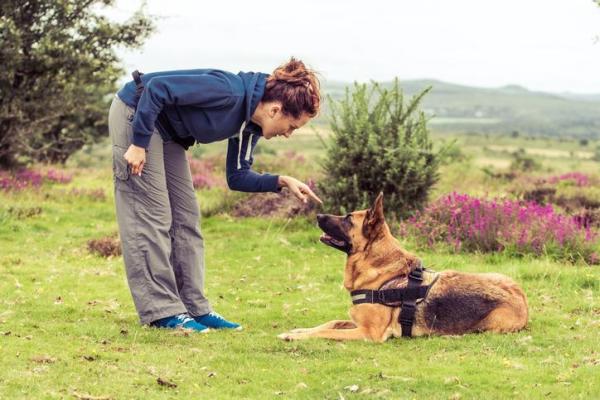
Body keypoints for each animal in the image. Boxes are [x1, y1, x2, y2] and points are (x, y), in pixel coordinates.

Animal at [278, 192, 528, 342]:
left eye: (348, 219)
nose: (318, 215)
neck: (378, 268)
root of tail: (523, 302)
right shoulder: (356, 322)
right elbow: (331, 323)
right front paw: (297, 331)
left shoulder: (369, 332)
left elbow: (328, 331)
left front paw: (295, 337)